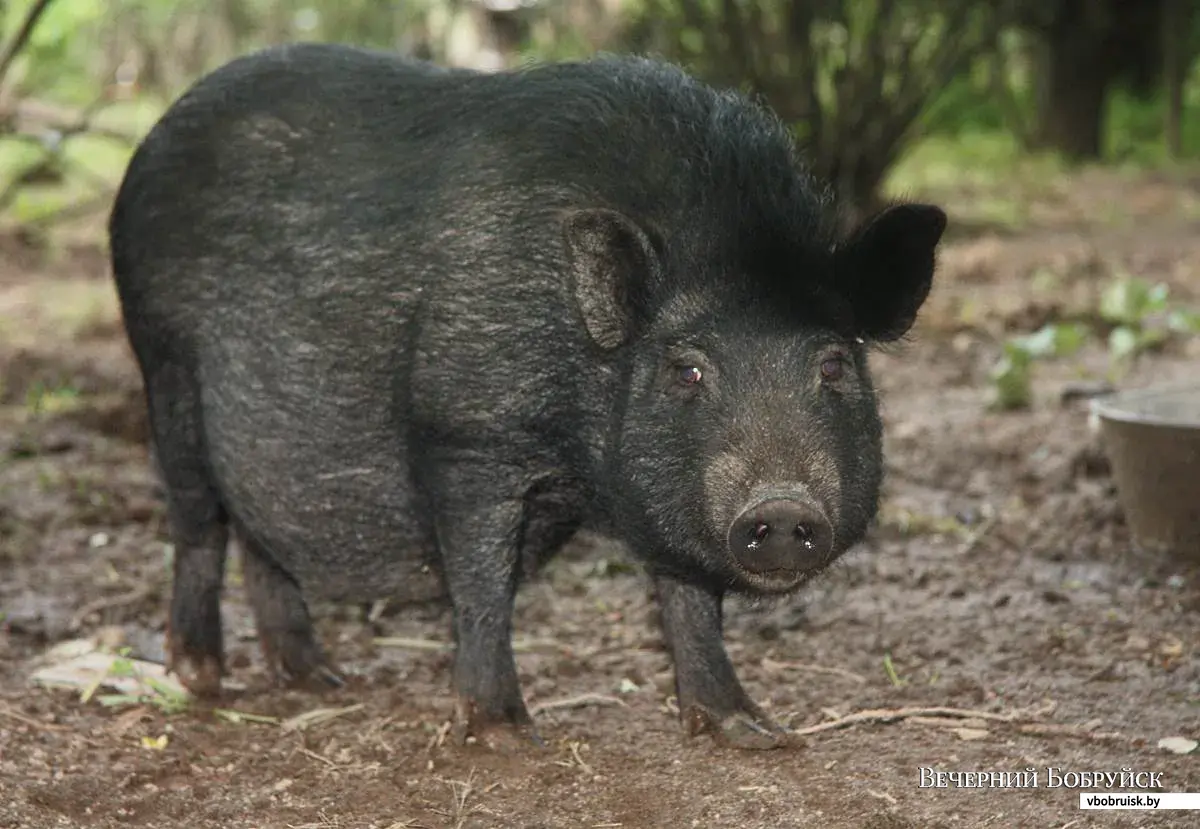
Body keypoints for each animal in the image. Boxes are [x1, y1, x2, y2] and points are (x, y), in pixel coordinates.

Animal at [105, 42, 945, 748]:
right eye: (687, 371)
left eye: (833, 364)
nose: (781, 507)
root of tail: (151, 140)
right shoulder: (464, 431)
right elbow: (481, 582)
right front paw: (505, 734)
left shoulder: (658, 495)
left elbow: (689, 597)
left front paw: (755, 732)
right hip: (163, 362)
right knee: (198, 520)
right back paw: (203, 676)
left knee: (258, 533)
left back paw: (317, 676)